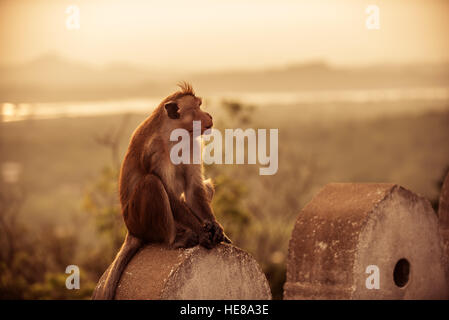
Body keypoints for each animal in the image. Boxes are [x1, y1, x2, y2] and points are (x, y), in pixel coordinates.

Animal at [91, 82, 231, 300]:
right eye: (198, 107)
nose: (209, 115)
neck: (175, 134)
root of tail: (130, 230)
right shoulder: (155, 151)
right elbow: (169, 193)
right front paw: (203, 232)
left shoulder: (193, 144)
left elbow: (194, 190)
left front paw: (214, 227)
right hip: (141, 223)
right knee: (152, 183)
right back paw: (175, 240)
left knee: (204, 186)